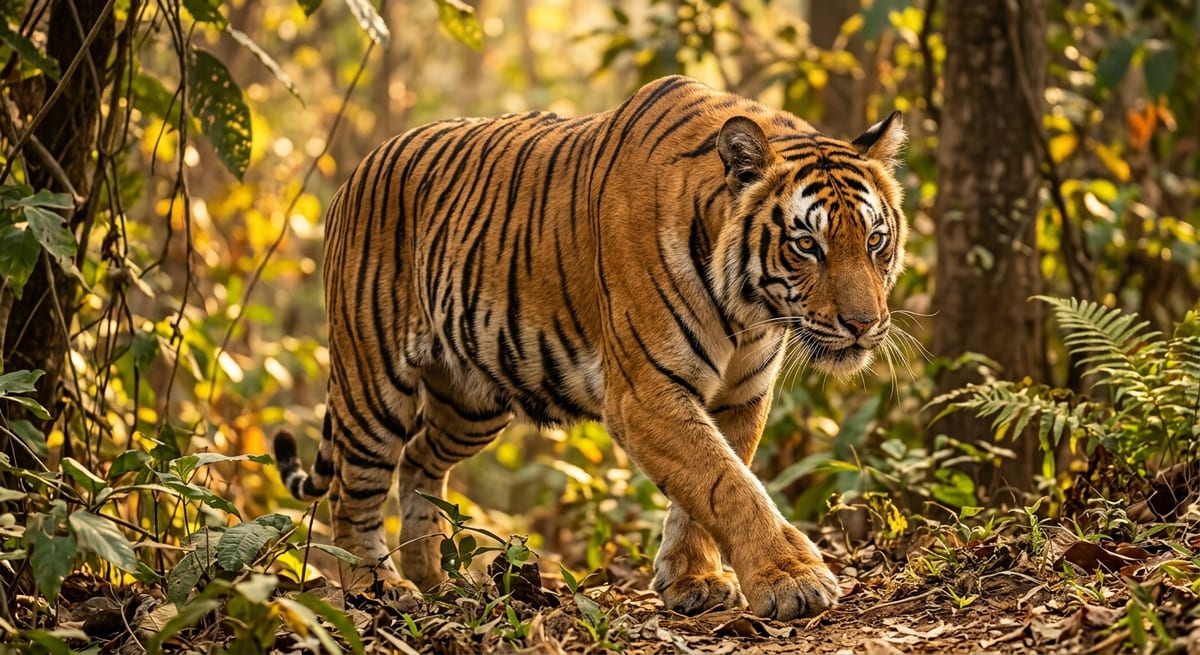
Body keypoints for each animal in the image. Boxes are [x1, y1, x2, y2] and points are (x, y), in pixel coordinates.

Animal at [274, 74, 907, 621]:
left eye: (875, 241)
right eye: (807, 245)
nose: (863, 324)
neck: (748, 312)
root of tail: (358, 169)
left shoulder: (741, 394)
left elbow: (710, 483)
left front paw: (692, 580)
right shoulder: (646, 393)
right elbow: (727, 484)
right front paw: (793, 579)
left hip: (472, 401)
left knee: (419, 461)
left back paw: (435, 580)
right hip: (372, 381)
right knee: (353, 494)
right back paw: (378, 588)